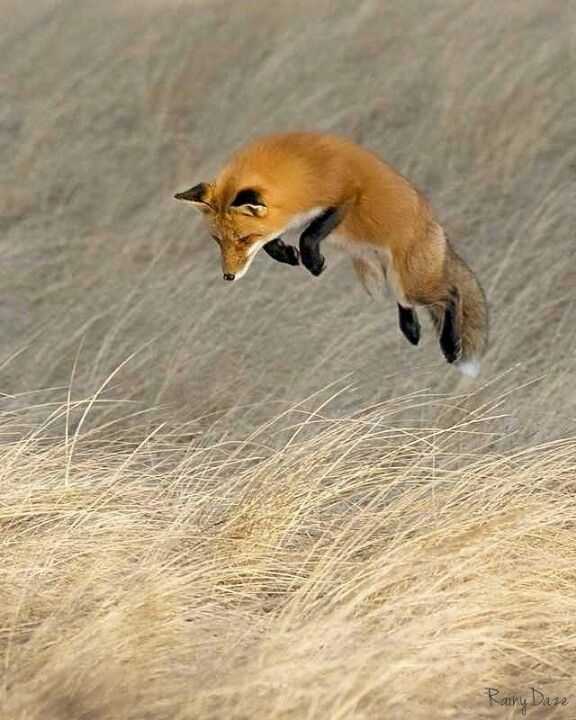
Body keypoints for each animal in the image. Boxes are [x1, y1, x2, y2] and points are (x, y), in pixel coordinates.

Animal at [174, 132, 486, 376]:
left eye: (243, 238)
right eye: (218, 241)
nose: (228, 276)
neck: (299, 170)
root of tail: (437, 228)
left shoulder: (346, 194)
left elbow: (309, 234)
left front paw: (312, 261)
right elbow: (275, 238)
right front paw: (286, 254)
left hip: (409, 283)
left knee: (452, 294)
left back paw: (450, 344)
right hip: (384, 281)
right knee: (407, 303)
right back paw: (411, 329)